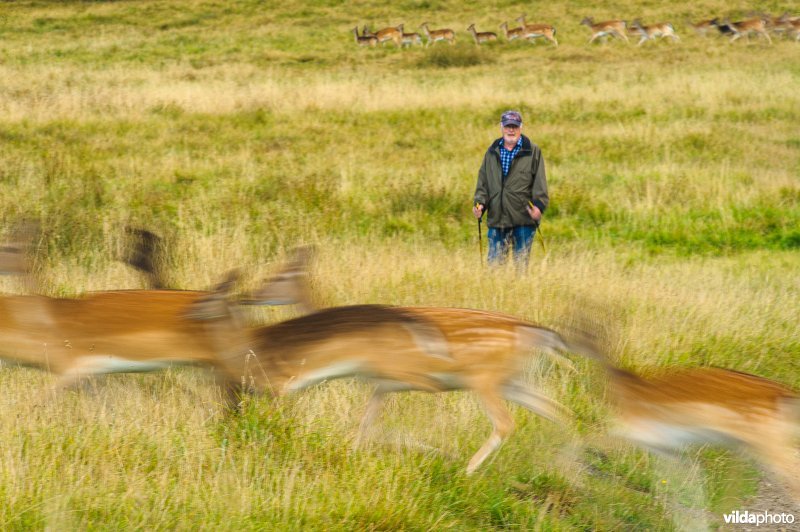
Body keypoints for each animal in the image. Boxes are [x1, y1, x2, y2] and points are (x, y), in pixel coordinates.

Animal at [191, 272, 592, 472]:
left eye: (279, 277)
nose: (249, 296)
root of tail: (539, 334)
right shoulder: (382, 385)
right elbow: (364, 424)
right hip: (513, 381)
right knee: (559, 411)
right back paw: (568, 468)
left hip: (487, 380)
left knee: (509, 422)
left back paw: (467, 470)